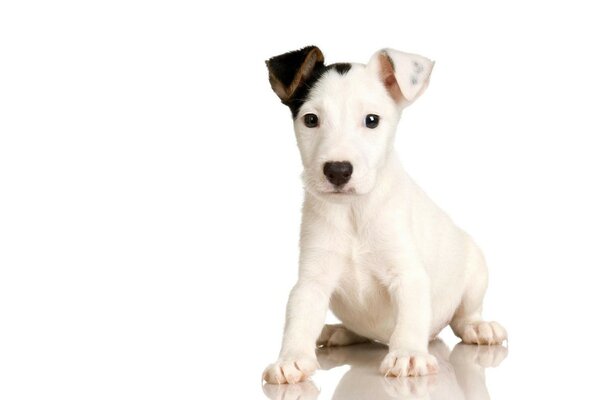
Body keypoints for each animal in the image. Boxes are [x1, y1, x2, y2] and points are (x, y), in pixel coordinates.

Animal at [262, 46, 506, 384]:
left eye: (372, 121)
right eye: (311, 119)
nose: (338, 171)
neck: (353, 211)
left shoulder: (408, 274)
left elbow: (410, 317)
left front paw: (409, 354)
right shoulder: (312, 280)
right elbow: (299, 318)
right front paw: (291, 358)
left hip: (475, 272)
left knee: (463, 316)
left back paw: (478, 327)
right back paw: (340, 332)